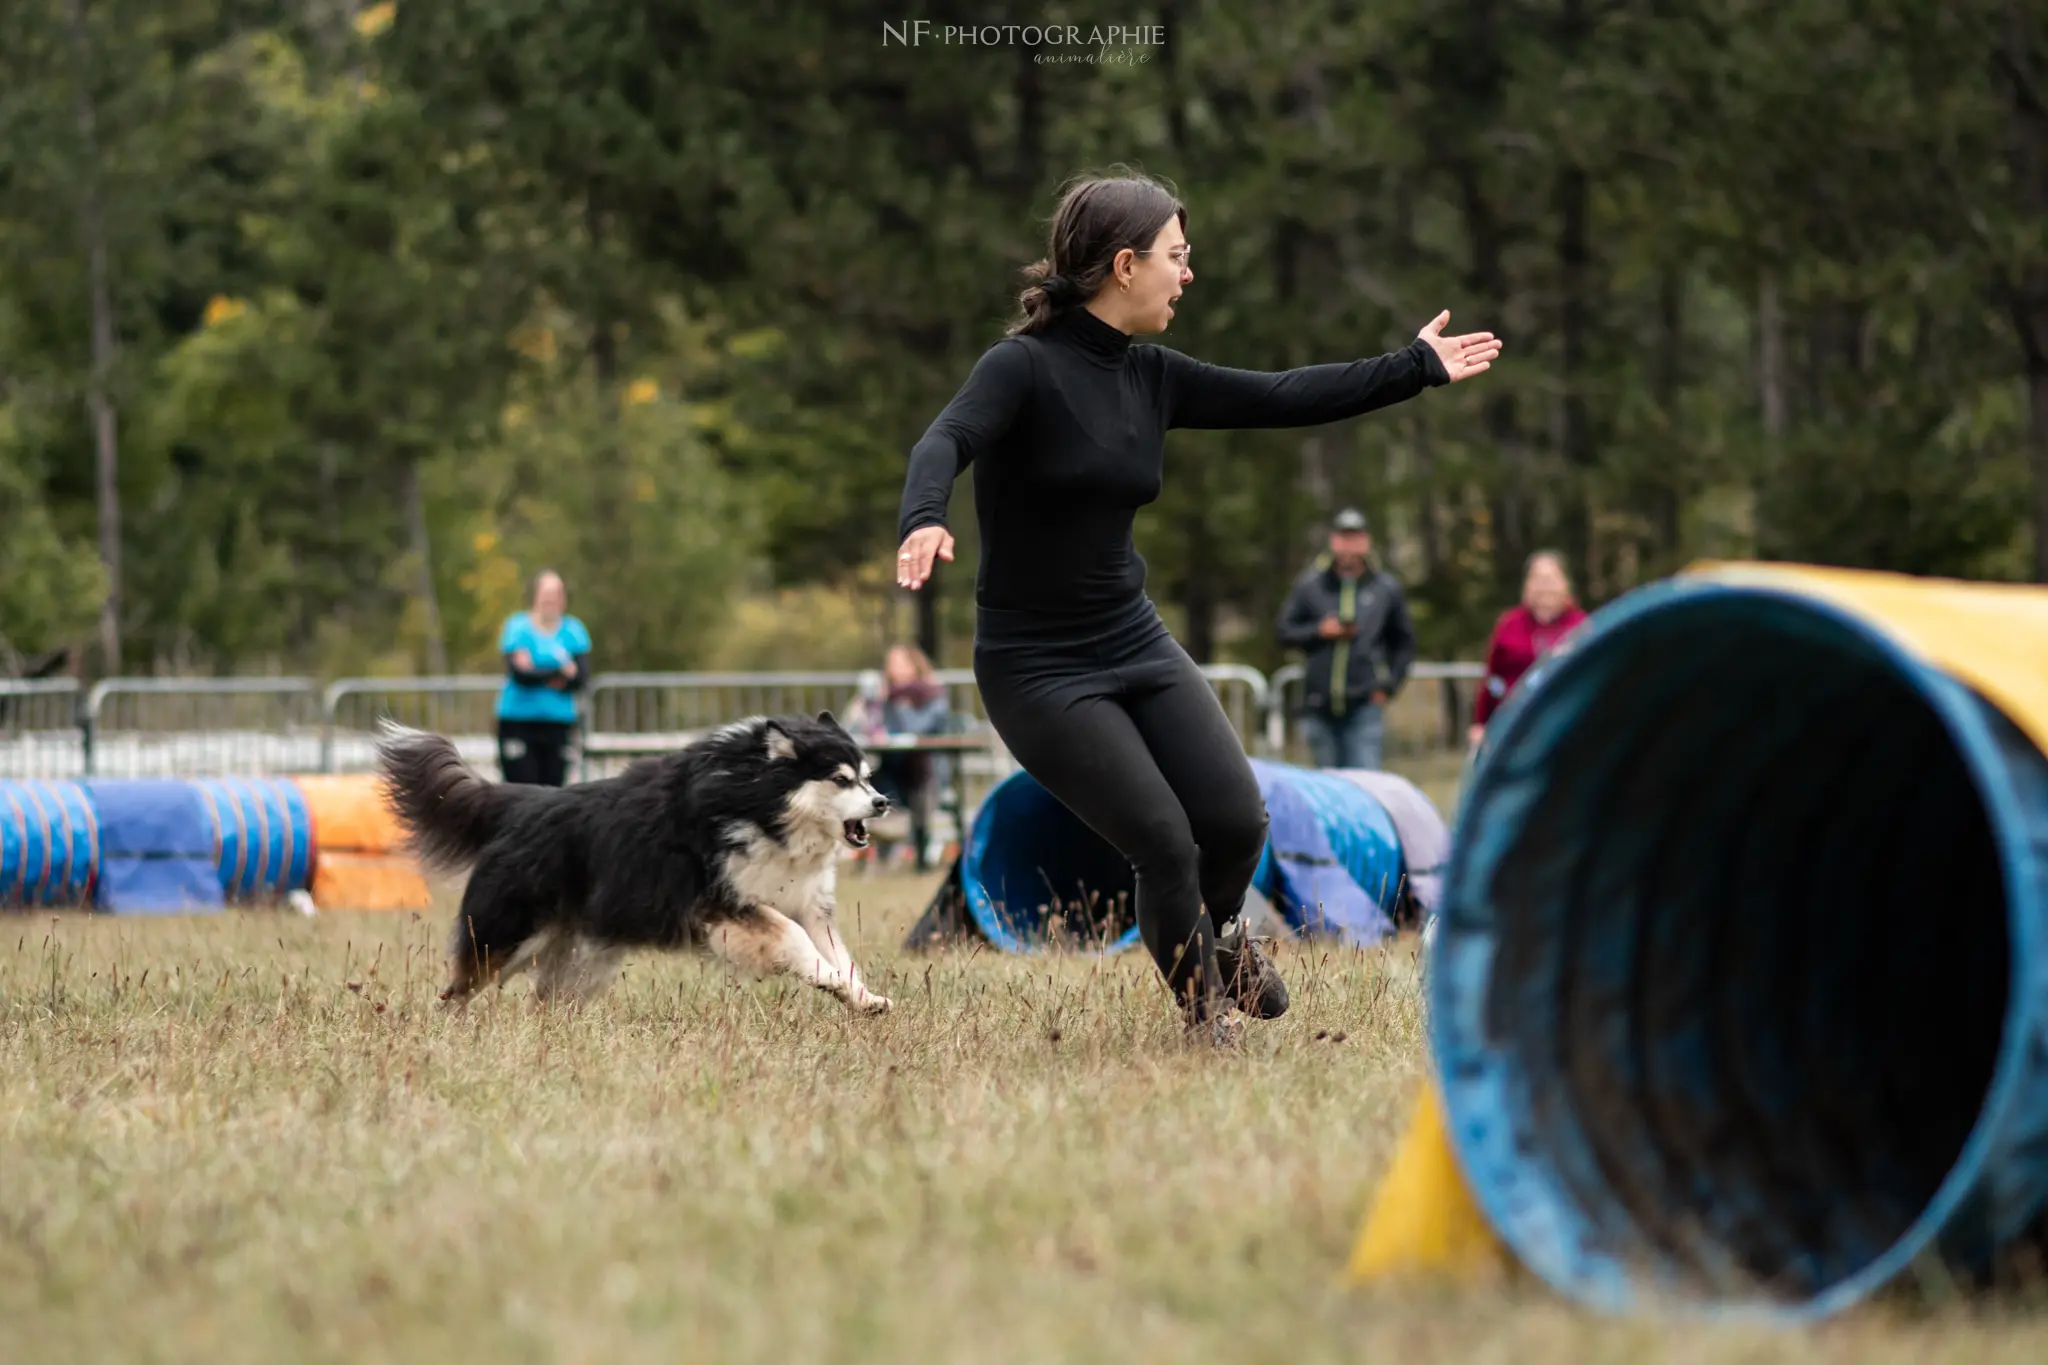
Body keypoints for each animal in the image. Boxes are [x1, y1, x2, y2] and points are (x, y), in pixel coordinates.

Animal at [374, 716, 897, 1015]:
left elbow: (837, 954)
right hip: (509, 938)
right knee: (458, 990)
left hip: (583, 957)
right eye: (840, 779)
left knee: (543, 1002)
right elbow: (795, 939)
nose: (883, 802)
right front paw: (831, 982)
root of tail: (521, 802)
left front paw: (861, 997)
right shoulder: (723, 904)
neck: (760, 807)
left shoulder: (807, 901)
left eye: (868, 777)